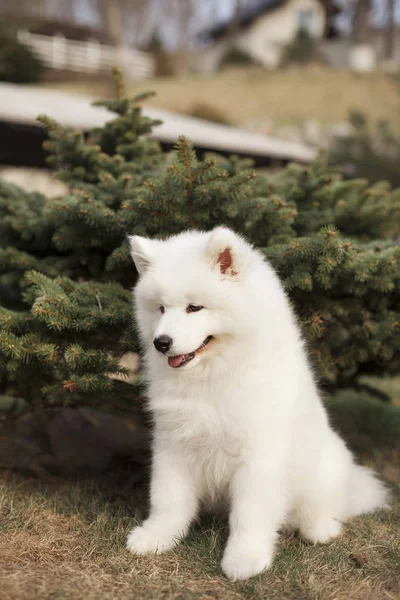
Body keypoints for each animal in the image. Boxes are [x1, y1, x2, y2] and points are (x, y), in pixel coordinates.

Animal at [126, 226, 388, 580]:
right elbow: (169, 498)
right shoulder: (174, 442)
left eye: (195, 308)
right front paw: (156, 537)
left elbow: (249, 514)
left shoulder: (258, 455)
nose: (161, 343)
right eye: (161, 309)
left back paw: (321, 529)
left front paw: (244, 560)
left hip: (324, 469)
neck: (215, 373)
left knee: (324, 507)